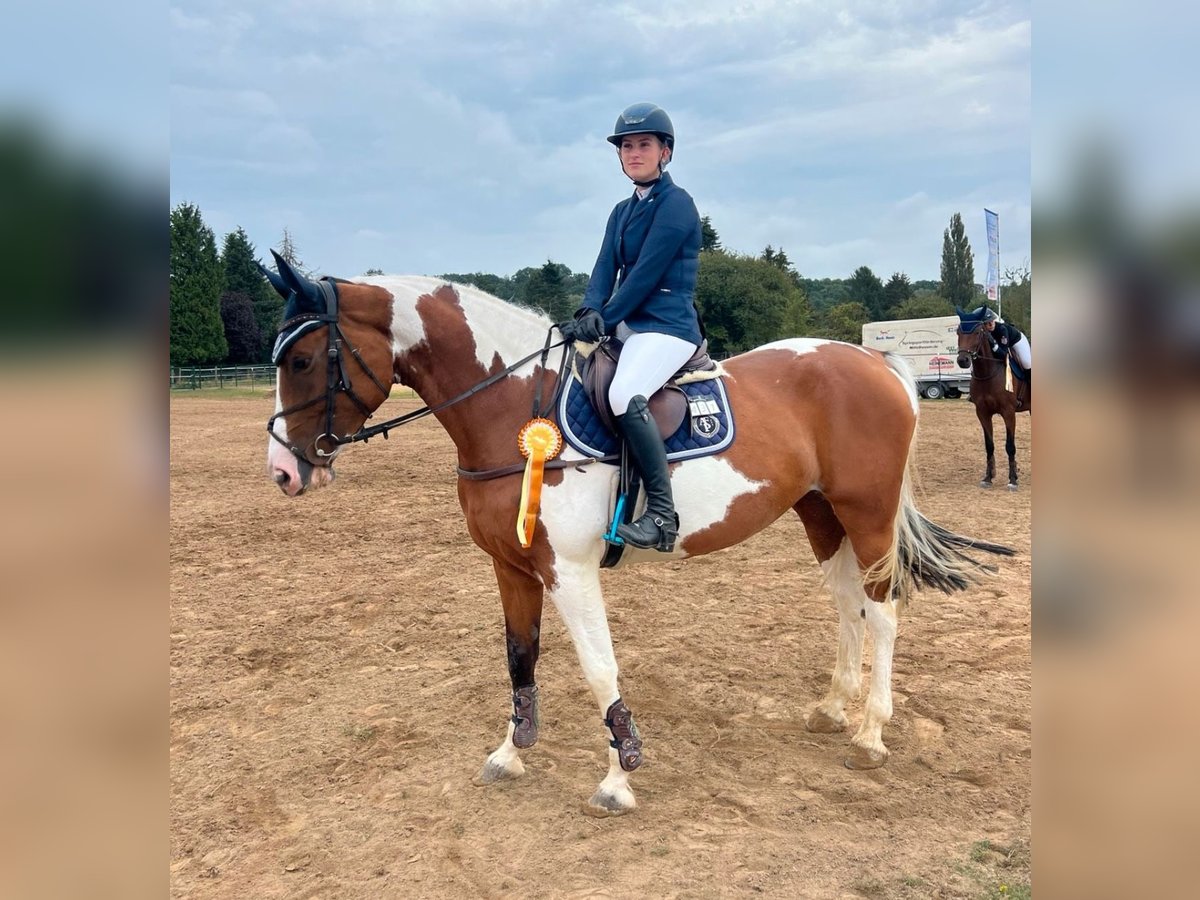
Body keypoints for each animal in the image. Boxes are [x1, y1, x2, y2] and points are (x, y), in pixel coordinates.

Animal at [262, 254, 1012, 816]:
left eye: (301, 361)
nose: (283, 472)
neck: (514, 406)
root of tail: (878, 364)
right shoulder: (510, 566)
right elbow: (519, 659)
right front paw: (511, 753)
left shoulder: (569, 570)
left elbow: (599, 668)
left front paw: (619, 776)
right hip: (821, 513)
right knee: (847, 602)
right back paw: (834, 709)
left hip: (868, 512)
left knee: (882, 612)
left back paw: (871, 733)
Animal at [955, 312, 1032, 494]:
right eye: (958, 332)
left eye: (977, 332)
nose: (963, 360)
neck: (987, 372)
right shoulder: (982, 413)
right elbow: (989, 445)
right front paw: (988, 478)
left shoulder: (1009, 413)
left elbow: (1010, 446)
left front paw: (1013, 480)